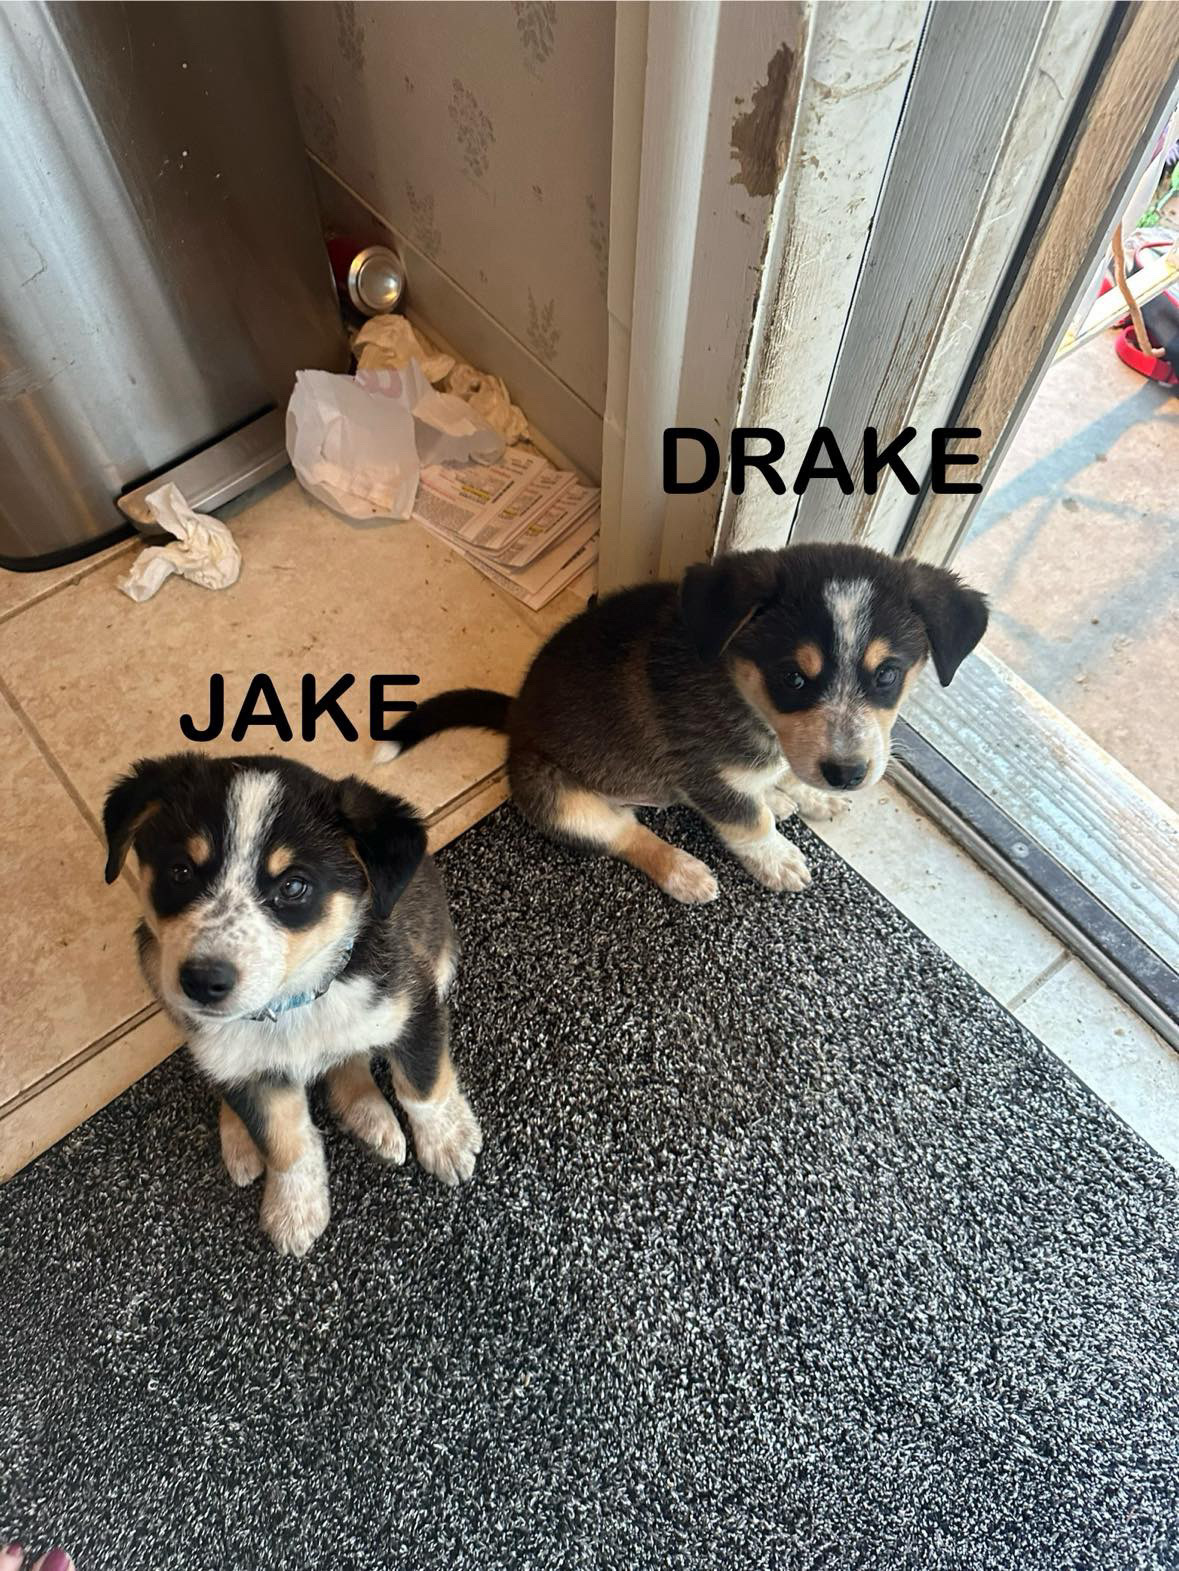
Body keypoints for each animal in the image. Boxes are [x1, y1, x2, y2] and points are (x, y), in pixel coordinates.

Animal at [101, 754, 481, 1256]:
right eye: (180, 871)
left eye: (294, 887)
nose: (202, 981)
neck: (292, 1003)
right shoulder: (246, 1067)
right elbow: (285, 1142)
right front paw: (294, 1210)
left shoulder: (412, 1005)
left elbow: (422, 1085)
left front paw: (448, 1141)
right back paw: (246, 1137)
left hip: (440, 958)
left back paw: (371, 1117)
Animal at [375, 543, 987, 904]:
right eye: (791, 678)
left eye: (888, 675)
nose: (849, 775)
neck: (743, 693)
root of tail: (516, 715)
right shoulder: (702, 775)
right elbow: (747, 821)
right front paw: (777, 858)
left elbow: (780, 779)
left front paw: (809, 796)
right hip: (558, 796)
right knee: (625, 834)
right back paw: (685, 871)